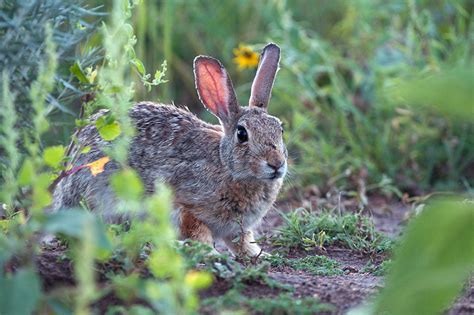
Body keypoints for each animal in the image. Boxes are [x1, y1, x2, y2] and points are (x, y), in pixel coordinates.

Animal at [53, 43, 286, 258]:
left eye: (280, 129)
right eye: (242, 134)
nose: (277, 164)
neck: (225, 164)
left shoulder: (238, 228)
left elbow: (243, 242)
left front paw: (260, 255)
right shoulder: (184, 206)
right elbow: (198, 232)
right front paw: (210, 254)